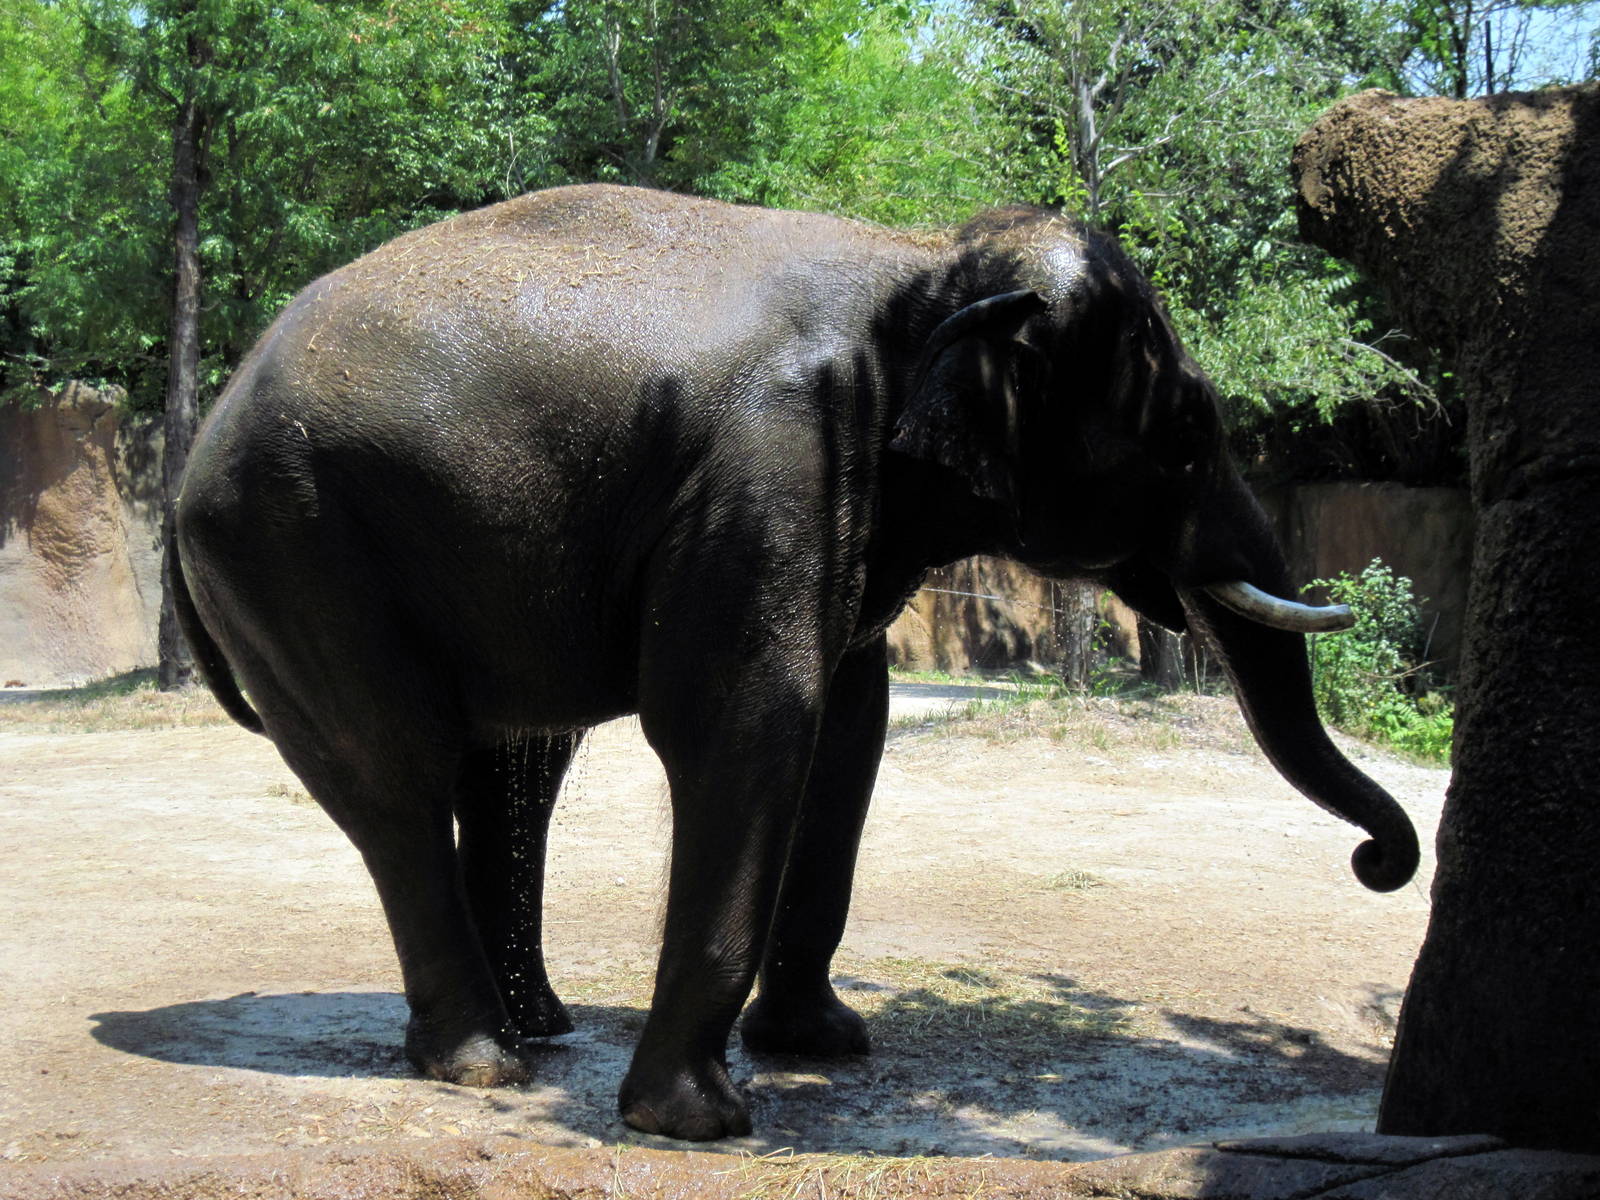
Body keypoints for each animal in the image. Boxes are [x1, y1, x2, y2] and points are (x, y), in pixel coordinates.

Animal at [170, 183, 1419, 1142]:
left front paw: (824, 1047)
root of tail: (201, 436)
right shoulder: (769, 462)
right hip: (292, 544)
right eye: (1186, 438)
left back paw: (541, 1030)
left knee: (511, 765)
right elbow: (750, 719)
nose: (1376, 864)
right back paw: (486, 1063)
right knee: (397, 777)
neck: (925, 263)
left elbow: (851, 730)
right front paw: (701, 1121)